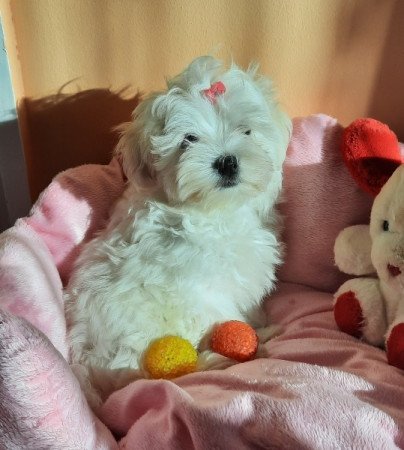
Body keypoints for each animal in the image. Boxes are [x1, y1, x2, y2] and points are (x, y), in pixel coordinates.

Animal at [67, 55, 294, 404]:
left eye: (246, 130)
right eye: (189, 139)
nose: (227, 162)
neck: (215, 211)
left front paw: (259, 320)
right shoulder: (200, 286)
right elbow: (222, 307)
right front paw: (253, 334)